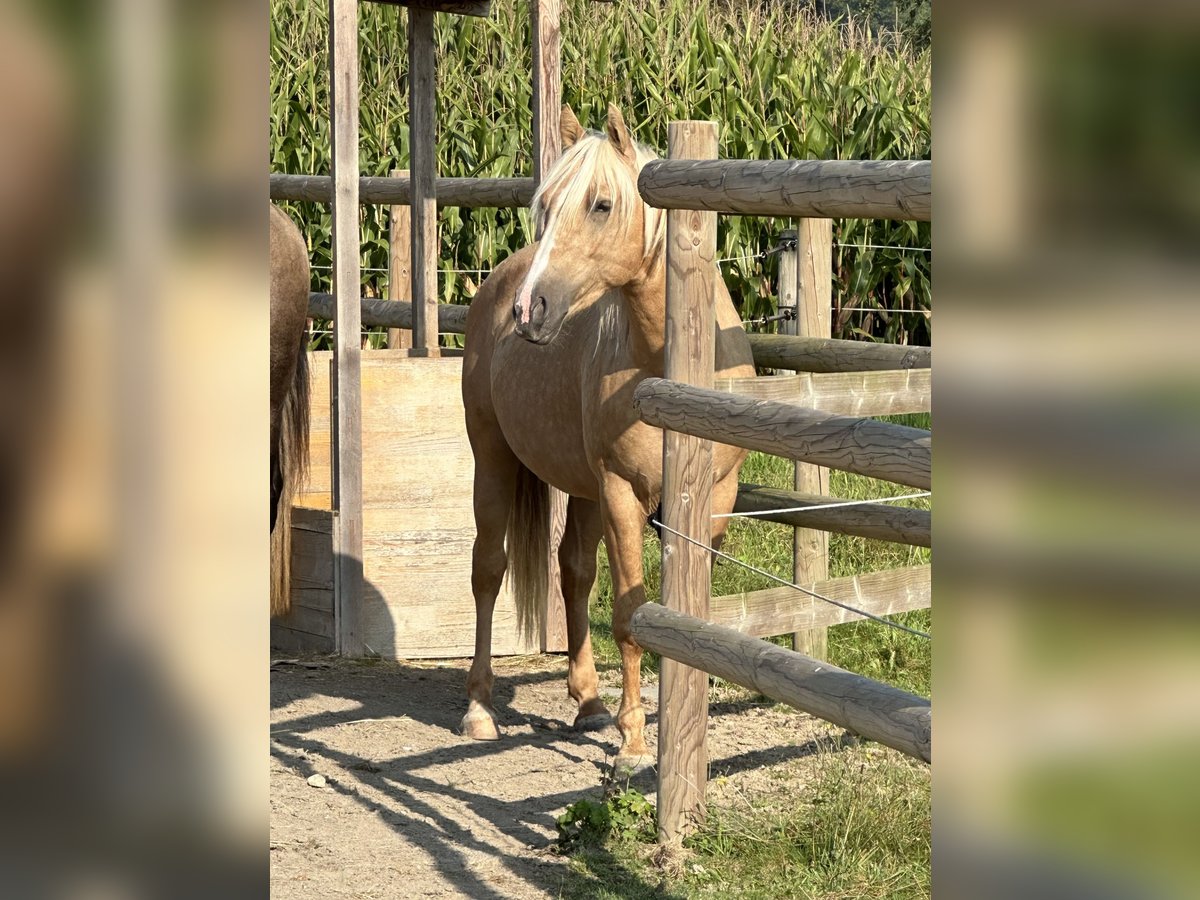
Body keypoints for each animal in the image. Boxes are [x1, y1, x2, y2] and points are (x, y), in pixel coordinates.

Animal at [458, 103, 748, 768]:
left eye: (602, 204)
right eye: (544, 205)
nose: (529, 310)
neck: (661, 363)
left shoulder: (715, 499)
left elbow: (688, 610)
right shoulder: (622, 494)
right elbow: (630, 615)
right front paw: (636, 740)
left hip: (582, 486)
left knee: (572, 571)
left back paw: (588, 701)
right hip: (495, 458)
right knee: (489, 569)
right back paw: (480, 707)